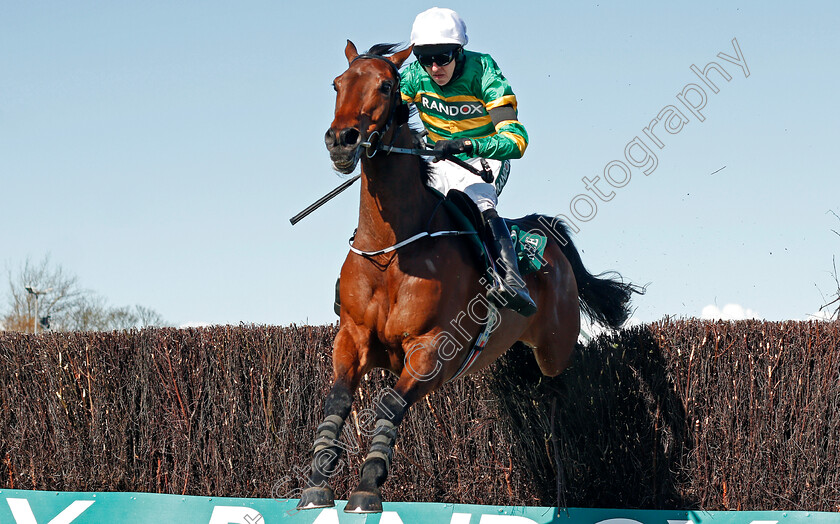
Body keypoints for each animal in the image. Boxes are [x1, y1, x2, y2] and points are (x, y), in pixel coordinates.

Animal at [298, 40, 640, 512]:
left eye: (385, 85)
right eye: (338, 83)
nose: (342, 140)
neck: (393, 250)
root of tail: (543, 231)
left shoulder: (430, 349)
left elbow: (389, 405)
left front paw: (367, 487)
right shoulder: (352, 335)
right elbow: (337, 399)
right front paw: (316, 483)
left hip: (555, 345)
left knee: (559, 383)